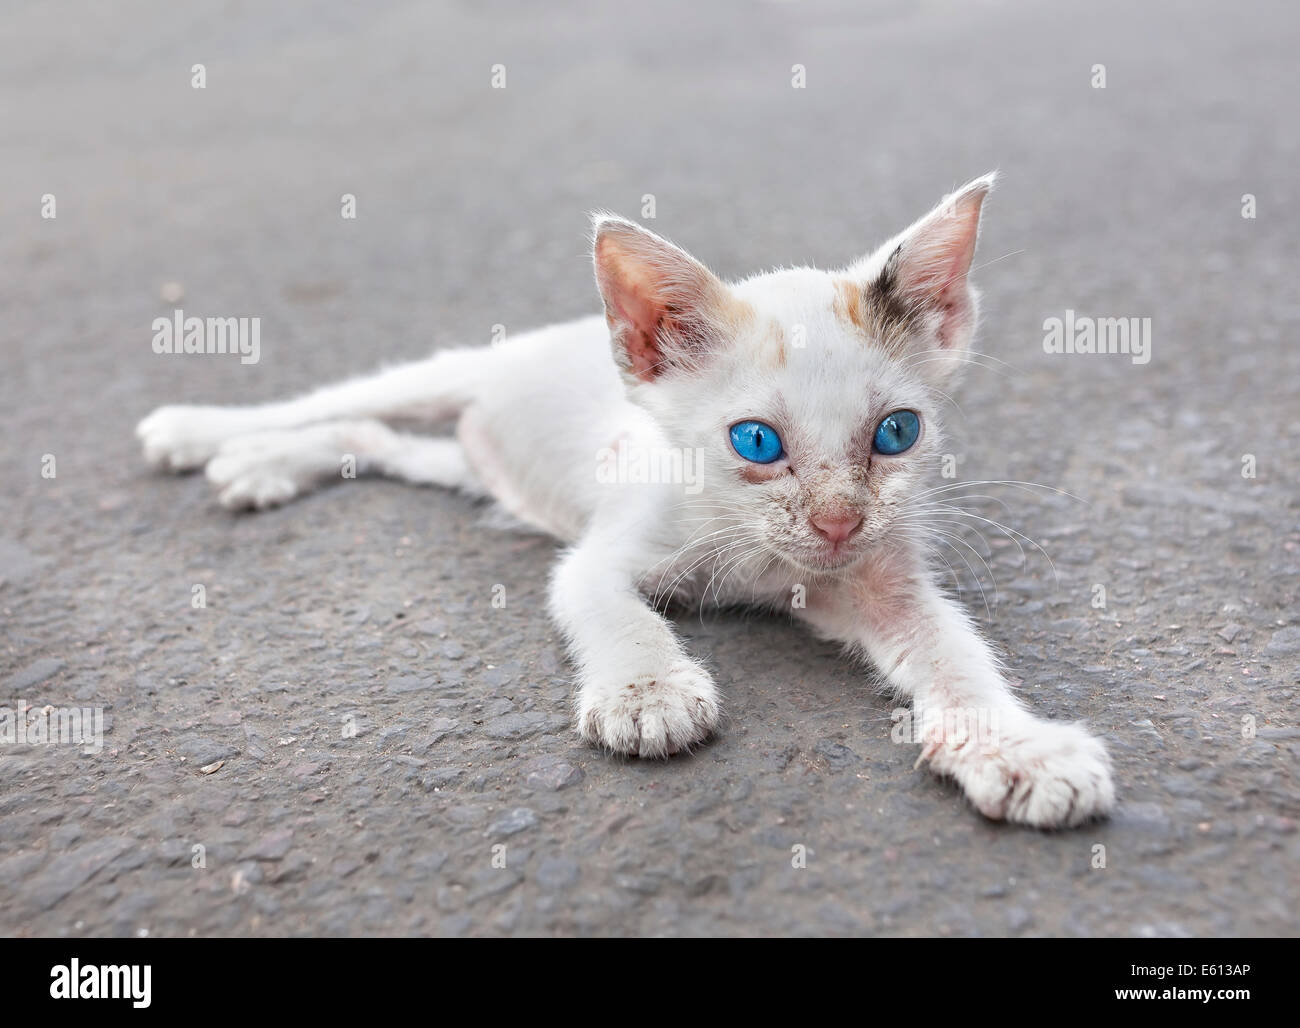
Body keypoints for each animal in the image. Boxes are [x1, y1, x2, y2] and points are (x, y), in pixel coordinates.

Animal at [139, 176, 1118, 831]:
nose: (839, 522)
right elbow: (616, 610)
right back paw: (207, 433)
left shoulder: (882, 583)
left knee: (372, 440)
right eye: (756, 443)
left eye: (897, 432)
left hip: (469, 464)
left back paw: (263, 465)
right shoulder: (597, 555)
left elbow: (956, 653)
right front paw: (648, 692)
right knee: (338, 401)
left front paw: (1015, 745)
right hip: (446, 377)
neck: (762, 559)